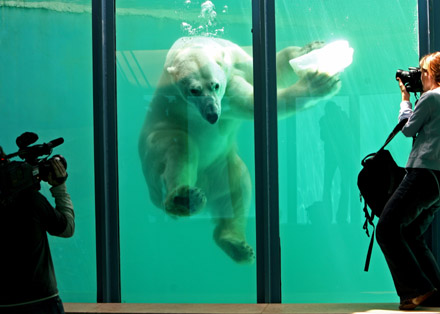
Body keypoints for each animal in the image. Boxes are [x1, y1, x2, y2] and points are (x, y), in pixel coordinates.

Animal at [138, 35, 340, 264]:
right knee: (179, 148)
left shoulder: (237, 64)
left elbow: (273, 75)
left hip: (221, 166)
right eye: (193, 90)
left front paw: (308, 49)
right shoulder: (211, 100)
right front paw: (317, 83)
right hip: (157, 142)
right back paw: (183, 199)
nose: (212, 115)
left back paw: (236, 245)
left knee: (238, 188)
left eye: (215, 85)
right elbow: (253, 104)